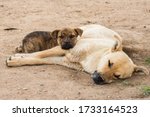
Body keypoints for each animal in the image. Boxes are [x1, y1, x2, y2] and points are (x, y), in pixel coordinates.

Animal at [6, 24, 149, 83]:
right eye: (109, 63)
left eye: (117, 76)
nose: (98, 79)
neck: (95, 57)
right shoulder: (64, 48)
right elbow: (39, 54)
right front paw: (16, 58)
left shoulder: (63, 60)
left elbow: (38, 58)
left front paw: (17, 59)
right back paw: (19, 50)